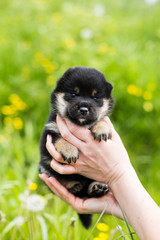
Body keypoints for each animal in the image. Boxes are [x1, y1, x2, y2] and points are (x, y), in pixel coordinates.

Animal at [38, 66, 114, 229]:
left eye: (95, 97)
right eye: (74, 94)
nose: (84, 109)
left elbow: (101, 120)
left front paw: (101, 129)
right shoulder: (50, 132)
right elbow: (60, 138)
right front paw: (70, 150)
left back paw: (97, 188)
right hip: (43, 168)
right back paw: (73, 185)